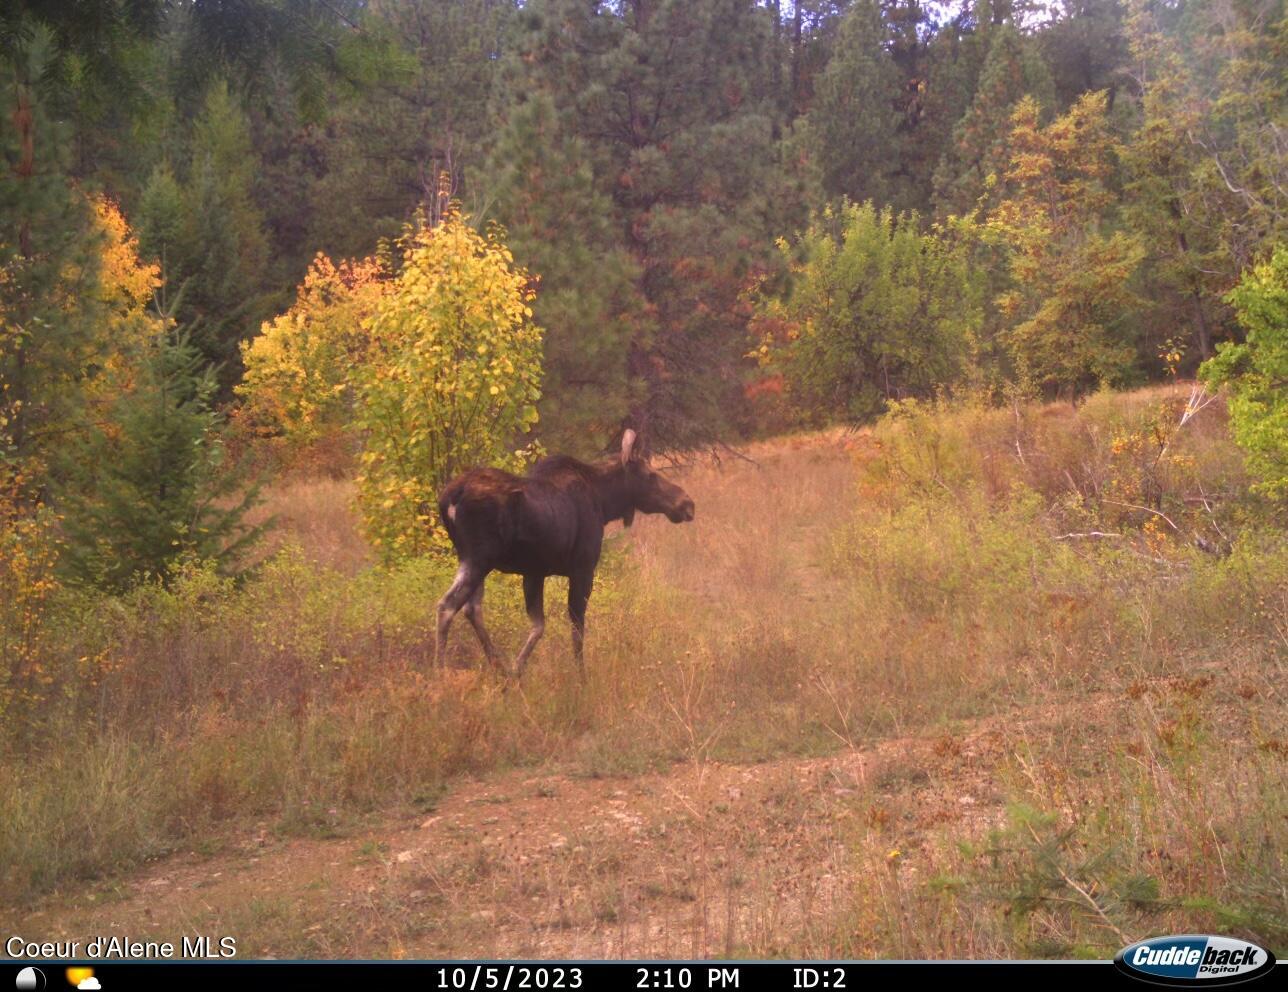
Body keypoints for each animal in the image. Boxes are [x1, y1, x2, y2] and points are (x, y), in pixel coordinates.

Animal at [432, 427, 695, 675]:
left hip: (472, 559)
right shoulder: (583, 569)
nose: (687, 503)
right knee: (448, 606)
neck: (604, 502)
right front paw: (581, 677)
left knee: (471, 608)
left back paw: (497, 665)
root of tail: (449, 498)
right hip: (479, 558)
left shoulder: (534, 572)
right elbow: (576, 629)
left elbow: (538, 626)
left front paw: (516, 671)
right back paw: (441, 672)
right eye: (650, 475)